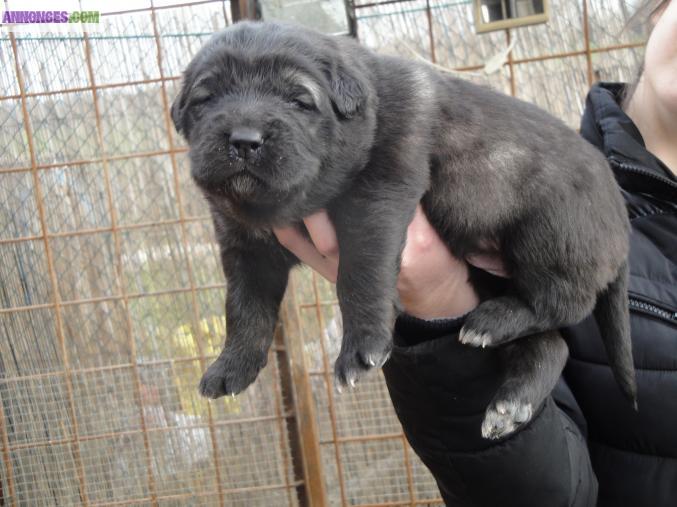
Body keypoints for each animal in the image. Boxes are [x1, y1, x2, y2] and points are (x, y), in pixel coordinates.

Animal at [169, 21, 632, 438]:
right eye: (206, 98)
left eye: (298, 100)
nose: (244, 140)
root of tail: (621, 221)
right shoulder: (245, 247)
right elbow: (244, 307)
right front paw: (232, 366)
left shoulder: (376, 195)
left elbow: (359, 273)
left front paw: (361, 348)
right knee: (552, 344)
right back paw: (511, 405)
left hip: (549, 231)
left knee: (563, 301)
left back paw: (494, 322)